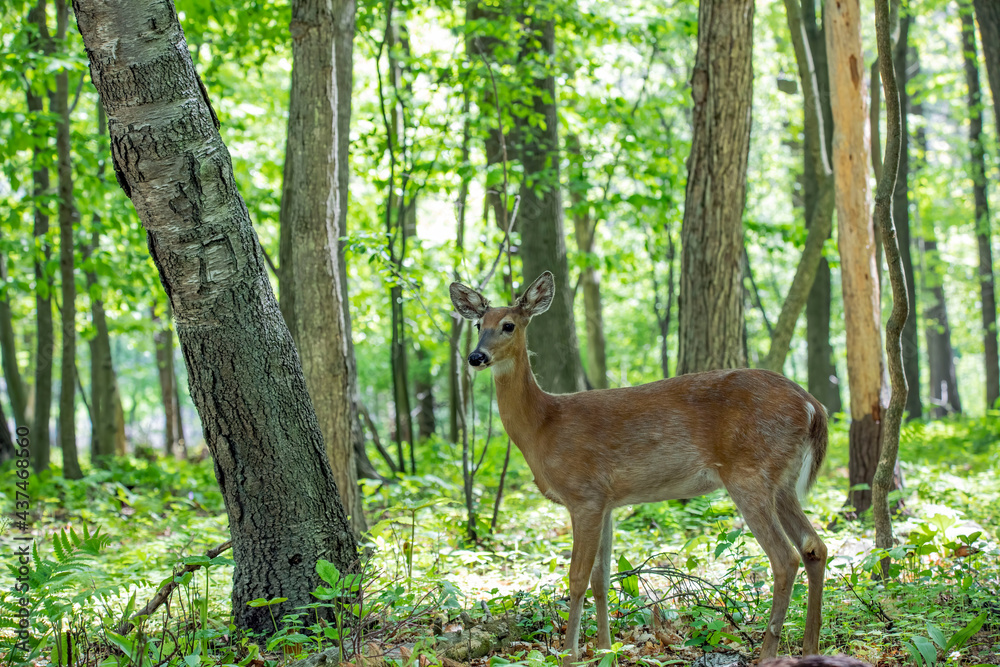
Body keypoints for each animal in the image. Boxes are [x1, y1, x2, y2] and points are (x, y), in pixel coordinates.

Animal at [452, 270, 828, 664]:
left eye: (508, 325)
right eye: (478, 324)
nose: (476, 356)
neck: (543, 425)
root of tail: (813, 405)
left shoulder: (584, 495)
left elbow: (577, 577)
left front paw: (569, 654)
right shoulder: (606, 502)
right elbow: (602, 578)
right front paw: (605, 649)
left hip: (749, 473)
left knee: (785, 558)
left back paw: (769, 652)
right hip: (782, 480)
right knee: (814, 546)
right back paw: (810, 647)